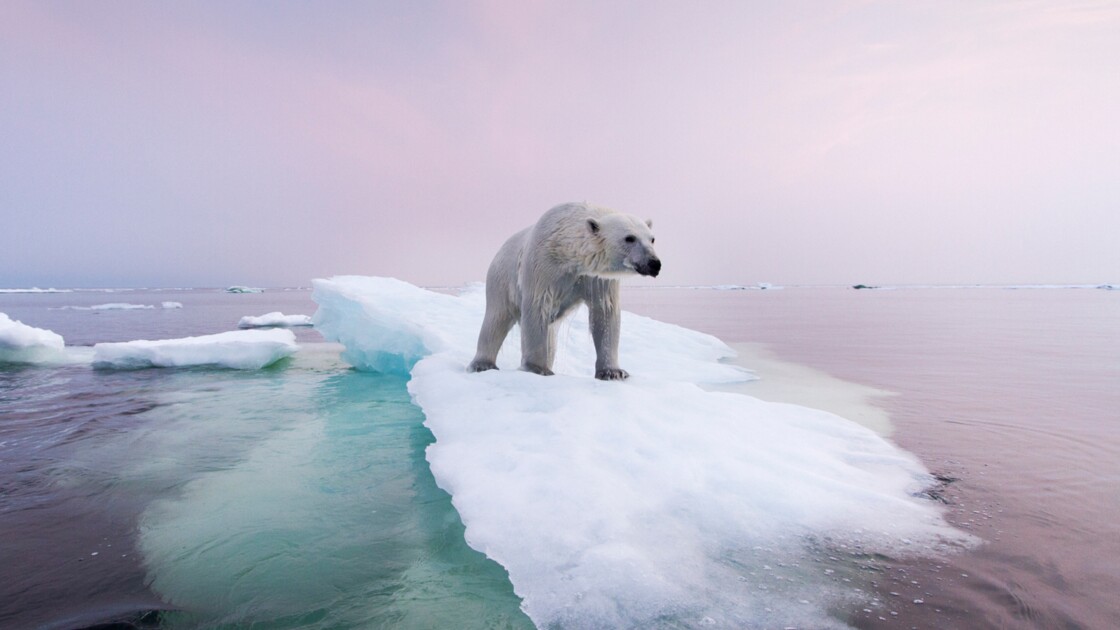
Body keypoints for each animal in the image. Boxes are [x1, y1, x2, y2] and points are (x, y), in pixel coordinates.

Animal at [463, 201, 654, 376]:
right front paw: (537, 368)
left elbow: (605, 311)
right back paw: (482, 364)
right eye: (630, 238)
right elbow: (537, 306)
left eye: (652, 238)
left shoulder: (596, 278)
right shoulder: (542, 265)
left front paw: (613, 372)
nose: (654, 263)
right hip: (501, 279)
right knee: (496, 319)